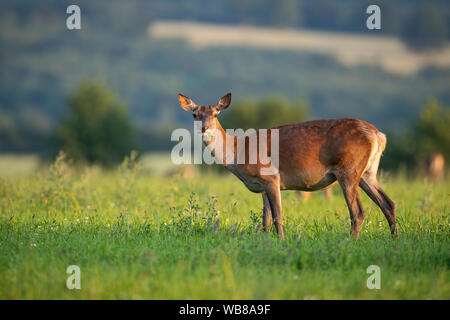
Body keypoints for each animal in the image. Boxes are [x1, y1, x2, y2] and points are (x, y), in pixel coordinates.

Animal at [178, 91, 398, 239]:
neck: (238, 152)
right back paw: (395, 239)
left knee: (358, 212)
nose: (205, 128)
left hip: (348, 169)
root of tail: (378, 135)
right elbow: (265, 220)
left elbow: (277, 216)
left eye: (216, 114)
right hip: (368, 172)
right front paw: (264, 241)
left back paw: (351, 241)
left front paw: (282, 242)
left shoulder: (271, 176)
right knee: (388, 203)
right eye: (195, 114)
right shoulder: (262, 185)